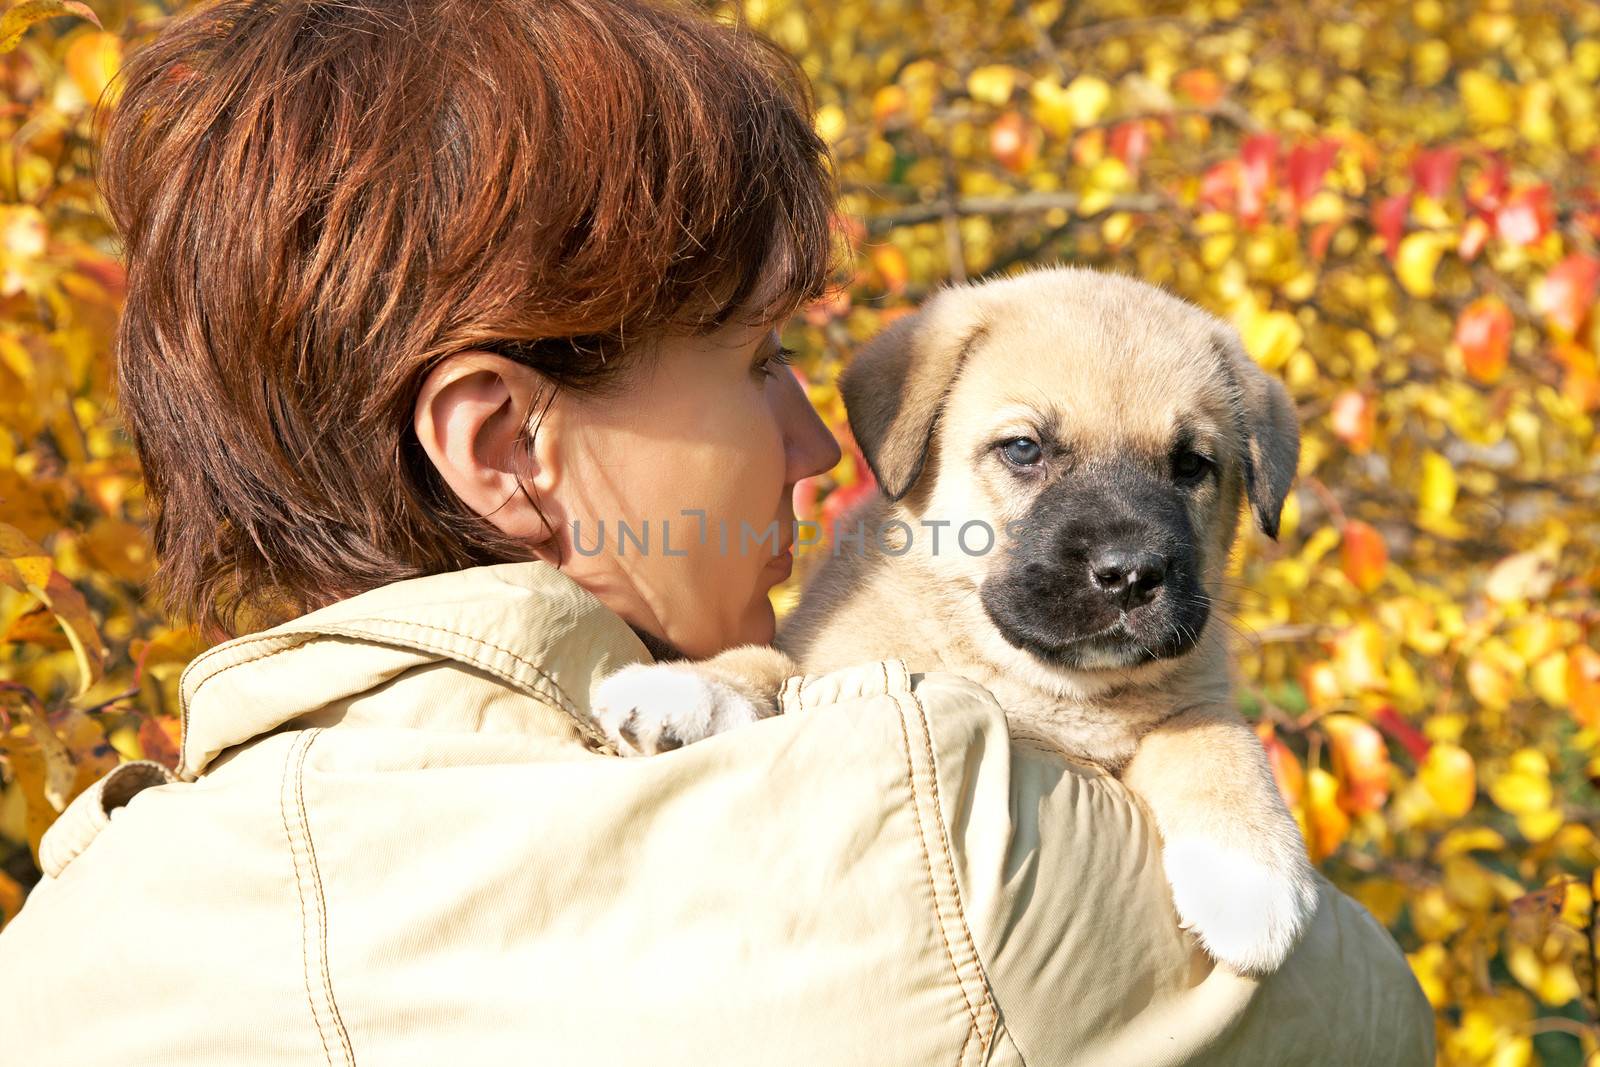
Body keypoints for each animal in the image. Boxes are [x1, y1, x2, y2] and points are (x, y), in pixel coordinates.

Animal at [595, 265, 1318, 979]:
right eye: (1023, 448)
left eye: (1191, 464)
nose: (1132, 574)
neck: (1038, 682)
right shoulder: (829, 661)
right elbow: (766, 662)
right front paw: (688, 689)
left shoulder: (1191, 698)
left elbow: (1214, 733)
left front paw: (1250, 871)